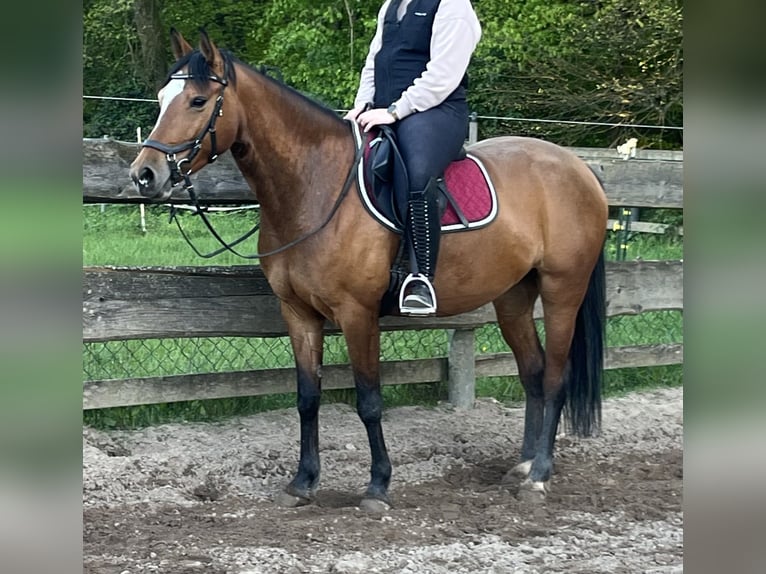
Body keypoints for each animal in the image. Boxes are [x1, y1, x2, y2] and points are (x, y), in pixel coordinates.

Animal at [129, 29, 608, 511]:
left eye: (197, 100)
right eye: (162, 97)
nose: (144, 174)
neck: (315, 187)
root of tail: (578, 168)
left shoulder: (357, 314)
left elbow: (369, 400)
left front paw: (378, 486)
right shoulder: (298, 313)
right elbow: (307, 397)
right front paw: (303, 481)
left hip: (563, 290)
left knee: (555, 376)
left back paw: (539, 476)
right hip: (513, 297)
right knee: (532, 372)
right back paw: (523, 465)